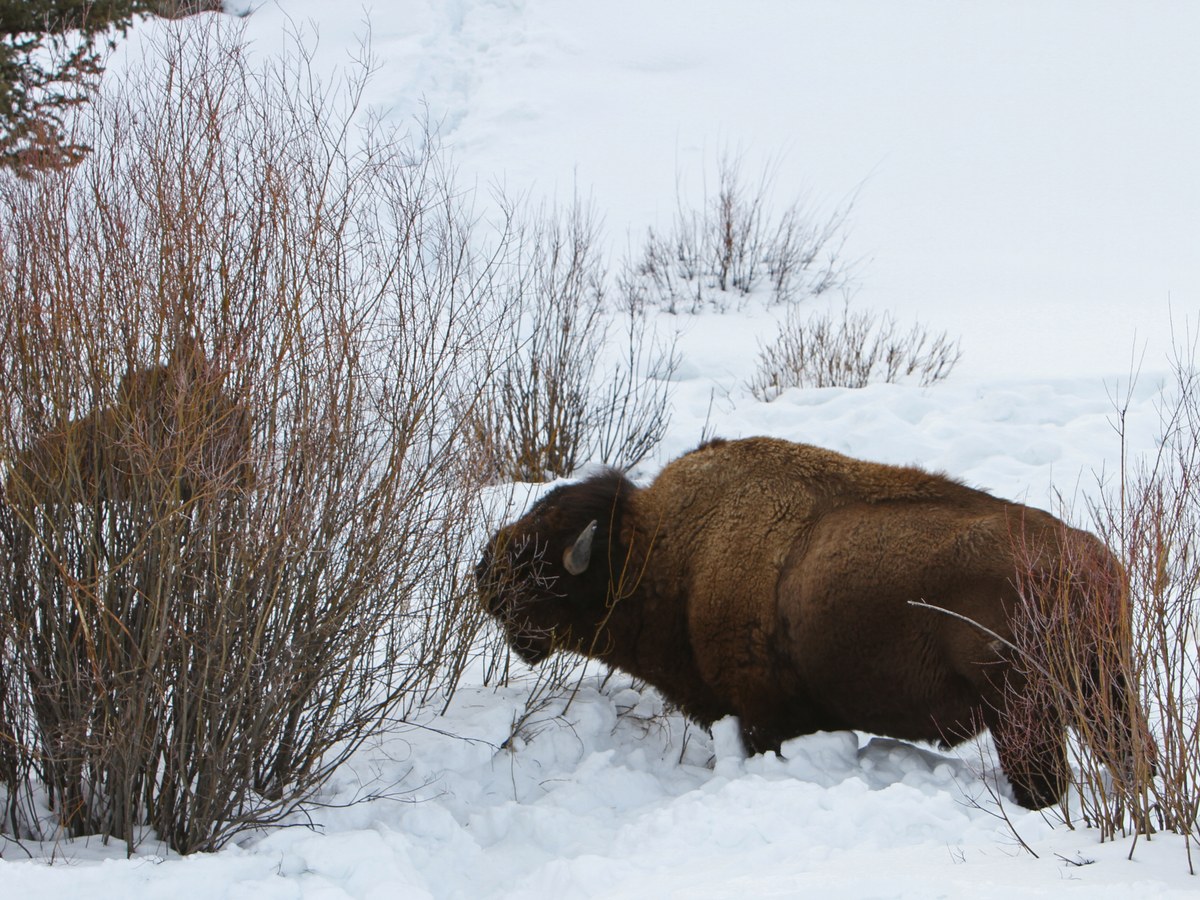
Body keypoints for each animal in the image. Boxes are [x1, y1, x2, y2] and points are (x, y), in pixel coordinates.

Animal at [477, 436, 1152, 809]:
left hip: (1026, 716)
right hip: (1105, 696)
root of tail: (1093, 563)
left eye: (539, 567)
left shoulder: (766, 716)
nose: (483, 576)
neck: (667, 552)